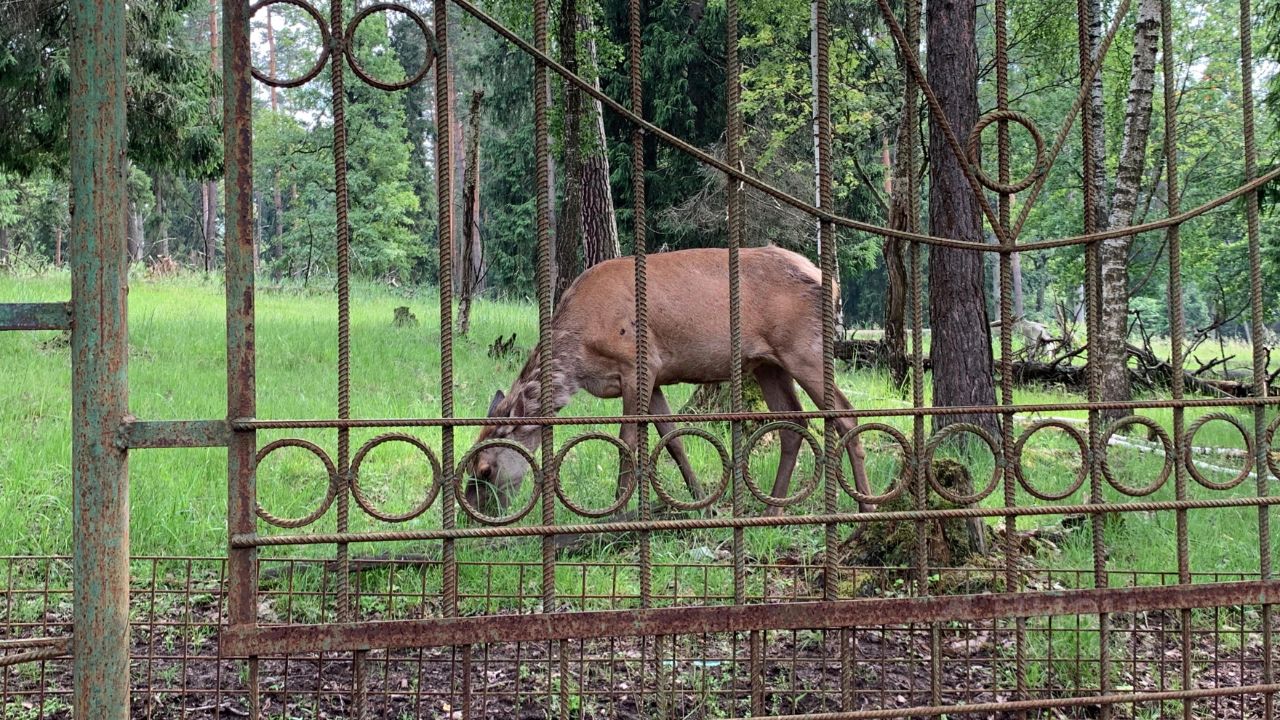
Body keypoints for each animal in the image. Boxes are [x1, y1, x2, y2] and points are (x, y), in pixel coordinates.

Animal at [465, 243, 875, 512]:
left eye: (485, 470)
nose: (477, 515)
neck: (579, 357)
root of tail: (832, 283)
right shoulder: (657, 376)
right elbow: (673, 440)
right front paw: (700, 501)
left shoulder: (637, 364)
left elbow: (626, 443)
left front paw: (616, 512)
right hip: (768, 363)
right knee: (794, 424)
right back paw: (774, 507)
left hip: (804, 348)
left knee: (846, 414)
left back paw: (866, 507)